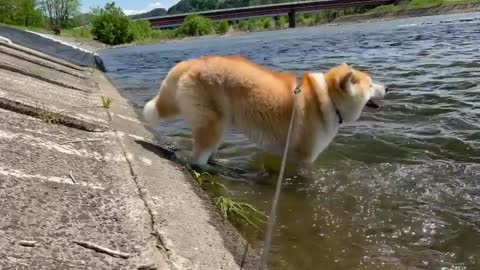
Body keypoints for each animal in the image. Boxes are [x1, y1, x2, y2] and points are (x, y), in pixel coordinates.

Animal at [142, 55, 386, 168]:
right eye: (371, 85)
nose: (387, 88)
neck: (326, 99)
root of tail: (190, 62)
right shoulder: (306, 159)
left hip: (221, 123)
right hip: (214, 122)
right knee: (199, 160)